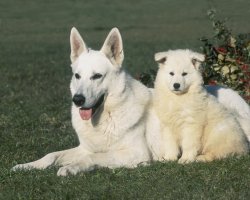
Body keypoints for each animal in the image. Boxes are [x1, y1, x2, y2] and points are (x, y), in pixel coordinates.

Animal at [12, 27, 151, 175]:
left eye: (97, 76)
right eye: (77, 76)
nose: (77, 99)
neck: (105, 116)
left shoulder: (138, 153)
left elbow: (93, 156)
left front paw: (72, 167)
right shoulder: (84, 148)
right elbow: (51, 155)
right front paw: (27, 165)